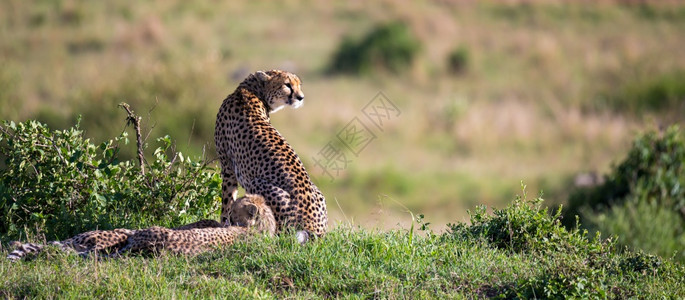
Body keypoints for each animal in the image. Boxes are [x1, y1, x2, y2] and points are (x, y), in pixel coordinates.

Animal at [216, 69, 328, 239]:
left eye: (298, 85)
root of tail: (315, 227)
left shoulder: (227, 165)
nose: (301, 97)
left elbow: (228, 199)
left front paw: (223, 223)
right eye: (287, 85)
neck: (249, 90)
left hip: (256, 183)